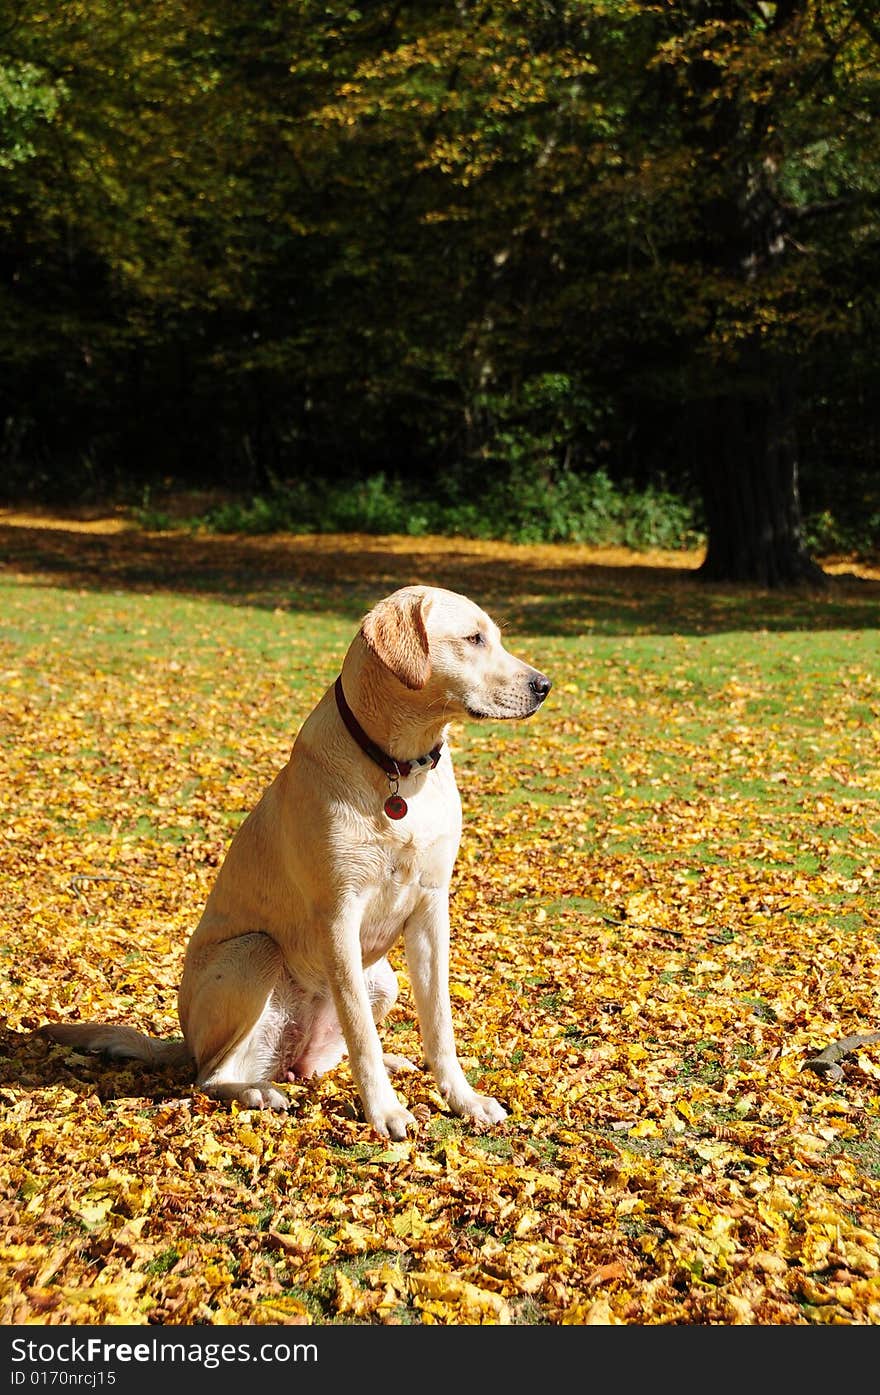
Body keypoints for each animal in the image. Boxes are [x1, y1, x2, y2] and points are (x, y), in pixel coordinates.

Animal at [43, 583, 552, 1138]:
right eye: (473, 639)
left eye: (494, 636)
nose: (544, 685)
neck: (397, 769)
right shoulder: (338, 916)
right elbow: (361, 1033)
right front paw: (384, 1110)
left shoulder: (431, 910)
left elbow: (439, 1026)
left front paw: (463, 1099)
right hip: (255, 952)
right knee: (210, 1075)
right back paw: (258, 1091)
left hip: (383, 977)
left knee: (324, 1059)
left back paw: (382, 1062)